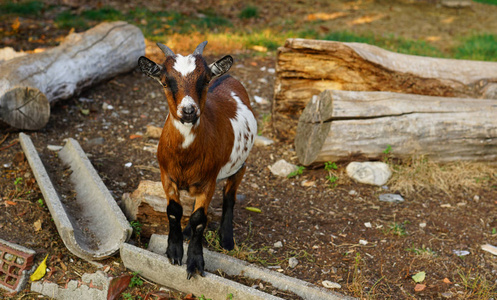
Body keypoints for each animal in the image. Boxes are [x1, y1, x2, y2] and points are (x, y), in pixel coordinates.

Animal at [139, 41, 258, 278]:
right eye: (165, 82)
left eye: (205, 80)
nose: (188, 111)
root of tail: (227, 77)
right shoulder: (166, 176)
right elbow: (174, 212)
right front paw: (174, 251)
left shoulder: (209, 180)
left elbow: (199, 220)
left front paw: (195, 262)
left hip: (239, 166)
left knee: (229, 198)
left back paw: (227, 239)